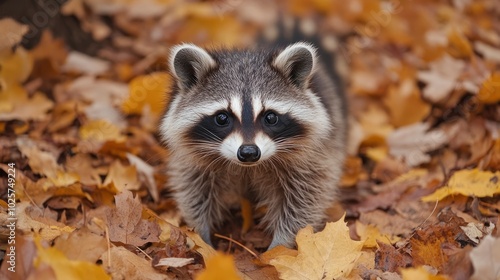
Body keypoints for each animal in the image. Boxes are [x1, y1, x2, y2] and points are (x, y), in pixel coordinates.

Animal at [160, 41, 348, 247]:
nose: (249, 152)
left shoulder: (310, 158)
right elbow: (193, 191)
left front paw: (280, 245)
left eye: (271, 117)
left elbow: (304, 199)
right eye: (222, 118)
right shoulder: (193, 159)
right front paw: (200, 235)